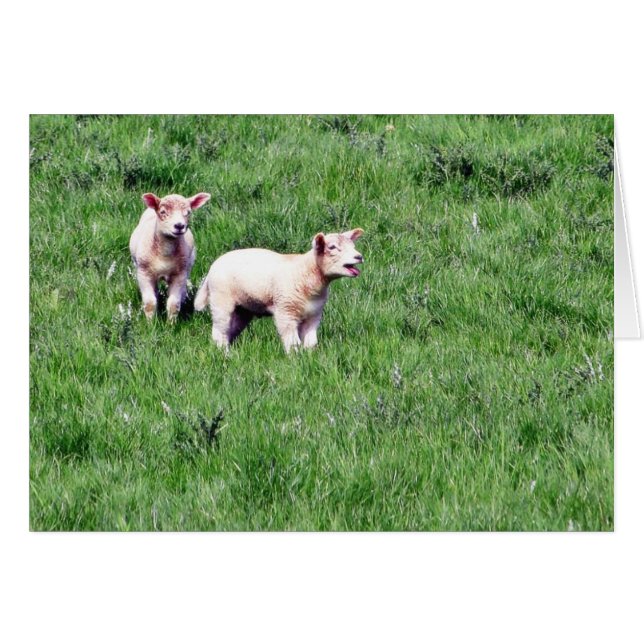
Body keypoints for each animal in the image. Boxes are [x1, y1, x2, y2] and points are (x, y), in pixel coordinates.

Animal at [129, 192, 210, 321]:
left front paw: (171, 324)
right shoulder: (144, 273)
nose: (179, 225)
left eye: (188, 212)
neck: (165, 253)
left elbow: (173, 304)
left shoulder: (179, 274)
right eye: (163, 212)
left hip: (187, 267)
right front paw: (150, 323)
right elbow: (150, 303)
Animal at [194, 228, 364, 352]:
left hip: (243, 308)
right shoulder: (285, 311)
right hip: (221, 300)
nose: (359, 256)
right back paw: (224, 353)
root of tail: (211, 269)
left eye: (353, 246)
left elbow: (311, 341)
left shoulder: (314, 314)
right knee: (219, 331)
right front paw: (295, 358)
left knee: (231, 329)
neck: (306, 273)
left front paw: (310, 356)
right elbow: (292, 341)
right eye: (332, 247)